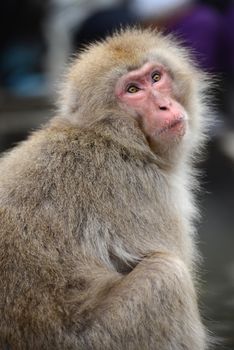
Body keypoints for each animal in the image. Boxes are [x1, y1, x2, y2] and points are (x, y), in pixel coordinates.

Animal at [0, 28, 209, 348]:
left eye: (156, 77)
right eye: (133, 90)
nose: (164, 105)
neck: (112, 136)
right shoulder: (143, 187)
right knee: (166, 276)